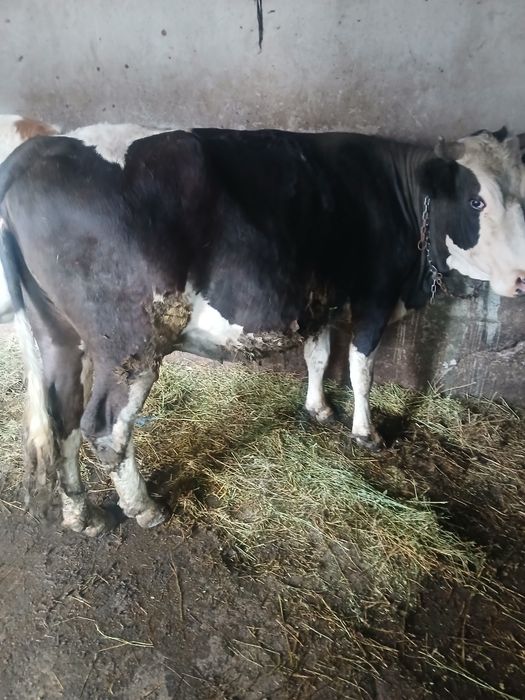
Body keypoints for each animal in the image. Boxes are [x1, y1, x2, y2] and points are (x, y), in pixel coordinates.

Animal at [0, 125, 524, 536]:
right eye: (477, 200)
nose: (522, 277)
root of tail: (35, 151)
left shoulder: (318, 300)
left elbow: (318, 355)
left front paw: (318, 409)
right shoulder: (375, 297)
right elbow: (361, 369)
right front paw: (366, 434)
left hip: (60, 335)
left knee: (63, 415)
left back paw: (81, 515)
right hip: (130, 344)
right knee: (106, 427)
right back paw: (144, 508)